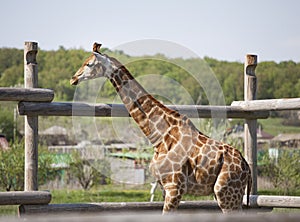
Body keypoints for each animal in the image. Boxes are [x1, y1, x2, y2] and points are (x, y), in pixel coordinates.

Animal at [70, 42, 251, 213]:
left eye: (89, 64)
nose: (73, 78)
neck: (159, 136)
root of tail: (246, 167)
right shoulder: (165, 187)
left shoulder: (174, 187)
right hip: (232, 196)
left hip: (226, 193)